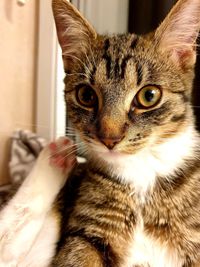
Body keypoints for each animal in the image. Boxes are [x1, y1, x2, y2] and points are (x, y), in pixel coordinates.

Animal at [0, 0, 200, 266]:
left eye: (149, 96)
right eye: (86, 95)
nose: (109, 139)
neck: (143, 170)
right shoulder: (85, 236)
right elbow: (77, 254)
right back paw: (56, 155)